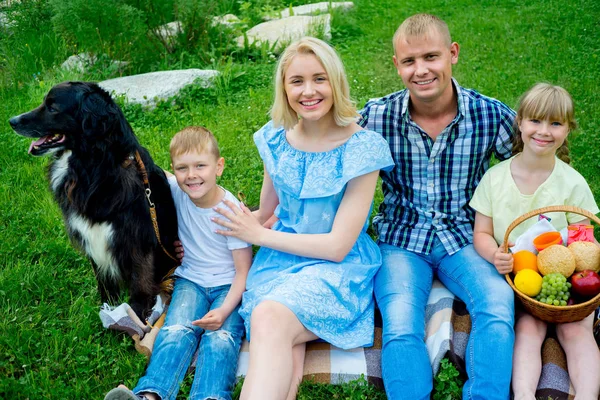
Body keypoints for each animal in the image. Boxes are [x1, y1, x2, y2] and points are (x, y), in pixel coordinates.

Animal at [9, 83, 178, 320]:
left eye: (53, 107)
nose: (11, 121)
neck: (94, 168)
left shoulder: (138, 238)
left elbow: (140, 281)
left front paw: (135, 316)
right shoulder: (93, 239)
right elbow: (104, 282)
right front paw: (108, 308)